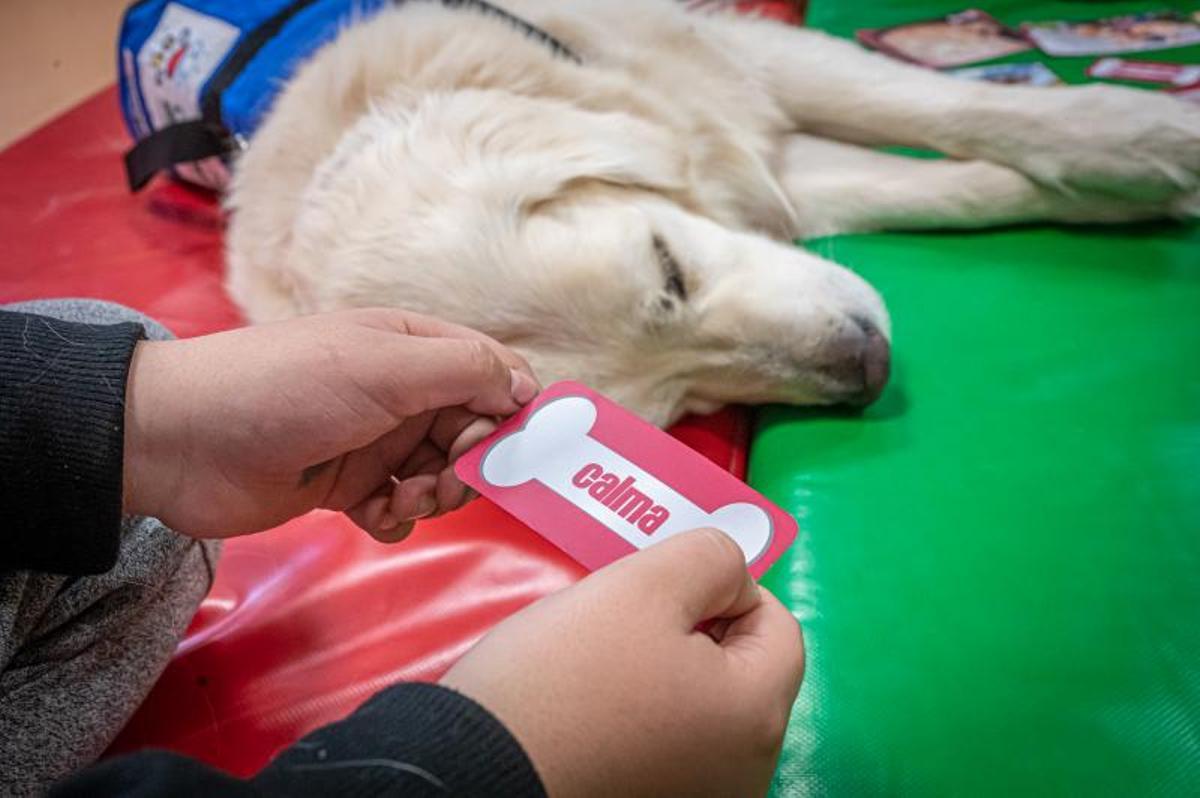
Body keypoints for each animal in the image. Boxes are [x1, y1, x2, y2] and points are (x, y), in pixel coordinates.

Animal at [223, 0, 1190, 427]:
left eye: (669, 269)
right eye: (684, 410)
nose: (869, 369)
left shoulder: (729, 58)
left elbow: (947, 111)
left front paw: (1144, 139)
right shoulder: (765, 163)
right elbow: (946, 184)